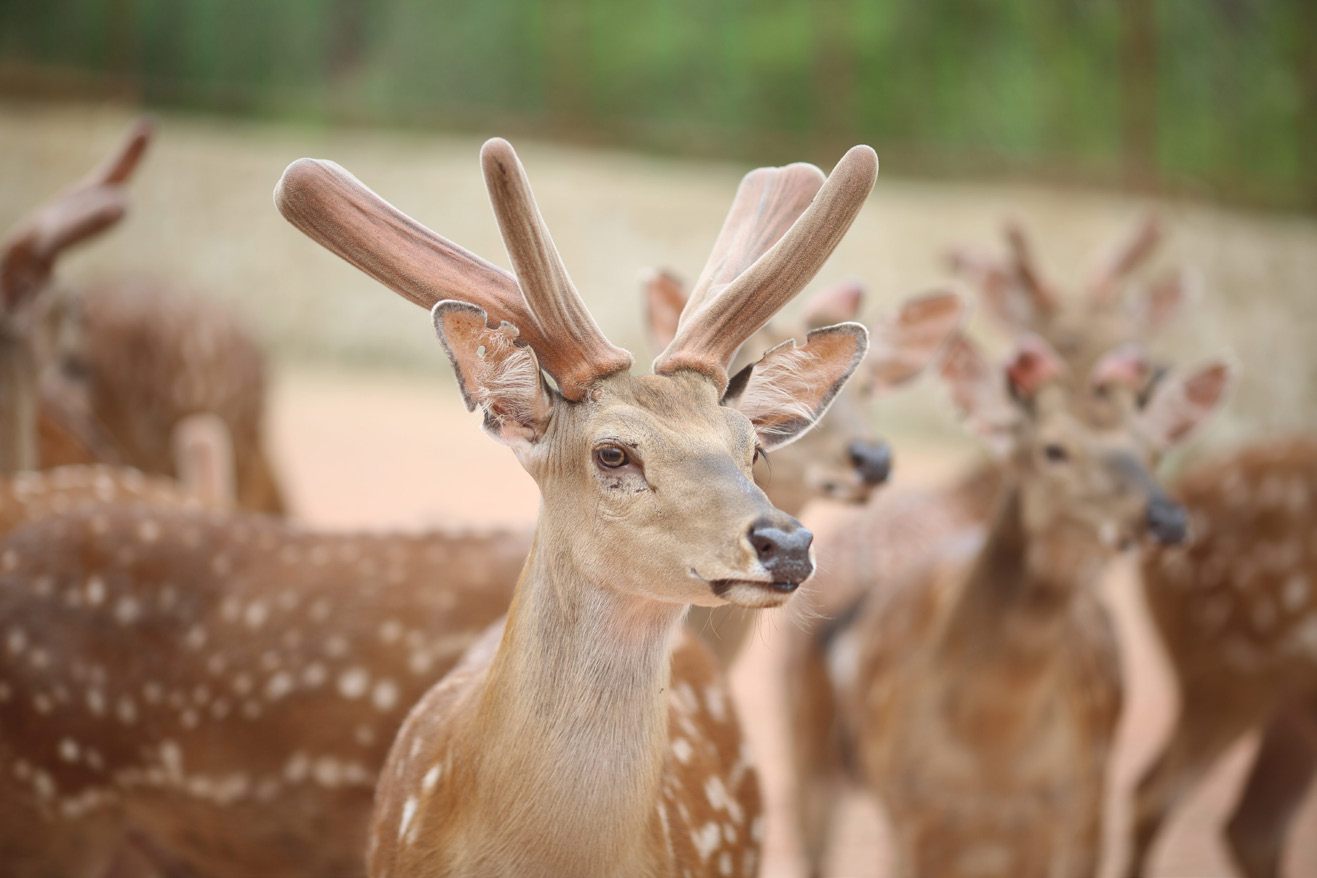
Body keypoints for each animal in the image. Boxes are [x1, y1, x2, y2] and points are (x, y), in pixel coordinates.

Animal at [784, 333, 1227, 874]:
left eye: (1153, 449)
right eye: (1053, 449)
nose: (1168, 521)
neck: (992, 749)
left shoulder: (1060, 806)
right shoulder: (912, 809)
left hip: (1089, 803)